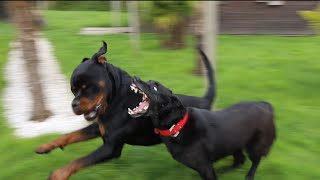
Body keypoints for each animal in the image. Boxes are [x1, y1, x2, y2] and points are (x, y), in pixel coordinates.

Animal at [34, 41, 215, 179]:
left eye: (87, 88)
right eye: (73, 90)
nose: (74, 105)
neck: (115, 101)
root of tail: (204, 101)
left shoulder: (111, 148)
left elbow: (79, 160)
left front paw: (58, 174)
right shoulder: (98, 128)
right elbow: (70, 135)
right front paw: (45, 146)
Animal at [131, 76, 276, 180]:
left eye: (155, 87)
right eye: (149, 81)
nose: (135, 77)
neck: (177, 126)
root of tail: (265, 105)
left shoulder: (205, 167)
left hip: (255, 146)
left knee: (255, 160)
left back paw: (249, 176)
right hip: (234, 143)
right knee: (239, 160)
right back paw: (224, 170)